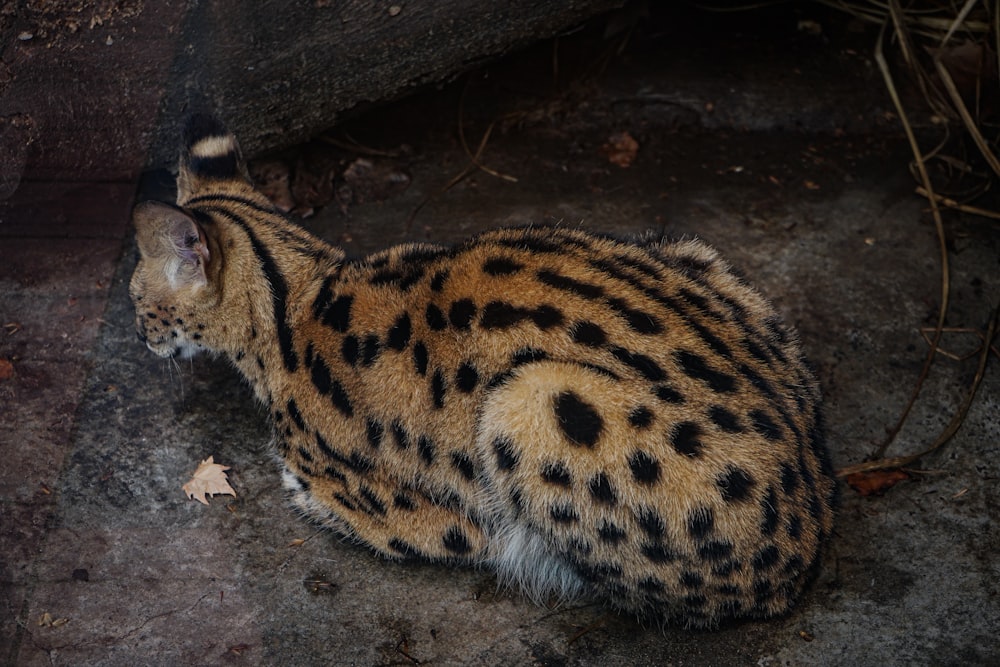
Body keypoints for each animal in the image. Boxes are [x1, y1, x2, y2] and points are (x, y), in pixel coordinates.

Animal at [131, 115, 836, 628]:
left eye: (136, 294)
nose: (140, 335)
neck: (295, 291)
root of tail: (814, 537)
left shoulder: (425, 517)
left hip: (534, 400)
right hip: (685, 254)